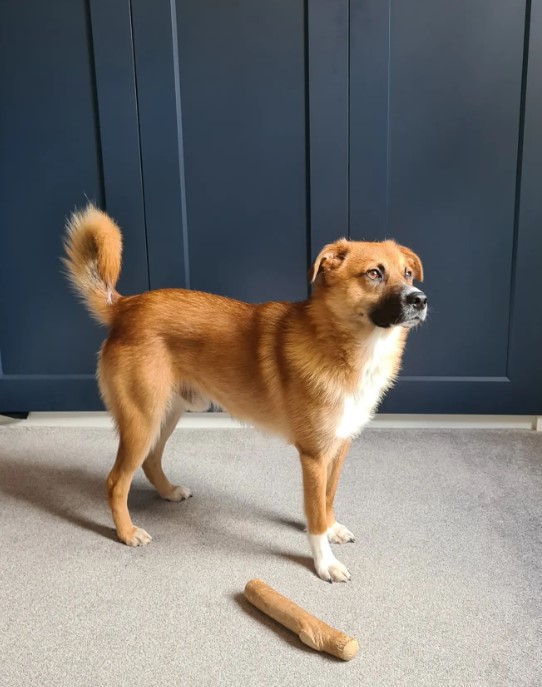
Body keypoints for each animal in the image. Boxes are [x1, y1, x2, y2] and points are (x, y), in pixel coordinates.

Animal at [62, 204, 430, 580]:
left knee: (151, 461)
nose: (420, 300)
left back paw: (168, 492)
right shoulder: (313, 456)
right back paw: (126, 532)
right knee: (115, 482)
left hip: (167, 414)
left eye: (408, 274)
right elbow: (314, 515)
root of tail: (124, 306)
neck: (344, 343)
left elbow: (327, 499)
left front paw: (332, 528)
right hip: (142, 419)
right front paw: (324, 562)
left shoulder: (338, 448)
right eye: (374, 273)